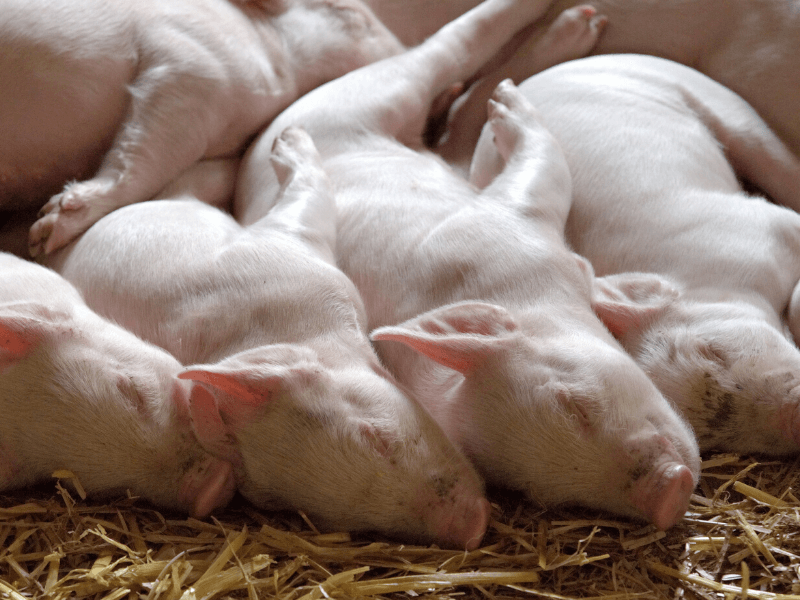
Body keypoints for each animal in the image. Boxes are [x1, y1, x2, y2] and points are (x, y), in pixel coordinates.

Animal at [45, 126, 491, 550]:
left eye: (378, 438)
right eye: (325, 515)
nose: (472, 531)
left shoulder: (290, 255)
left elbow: (308, 200)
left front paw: (289, 137)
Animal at [233, 1, 701, 530]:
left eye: (575, 404)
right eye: (540, 492)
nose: (669, 494)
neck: (518, 290)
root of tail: (263, 143)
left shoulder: (504, 220)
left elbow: (545, 166)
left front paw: (512, 105)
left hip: (372, 98)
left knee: (445, 62)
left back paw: (563, 41)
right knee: (455, 111)